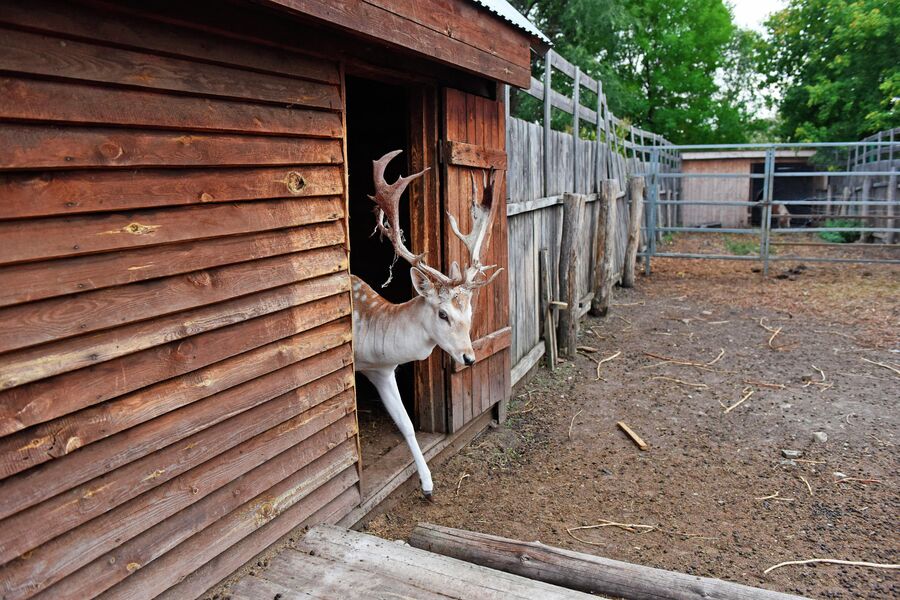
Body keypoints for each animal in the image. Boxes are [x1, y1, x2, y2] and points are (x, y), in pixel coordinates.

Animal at [350, 151, 500, 502]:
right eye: (443, 314)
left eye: (470, 311)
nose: (469, 358)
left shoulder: (382, 370)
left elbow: (405, 424)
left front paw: (428, 485)